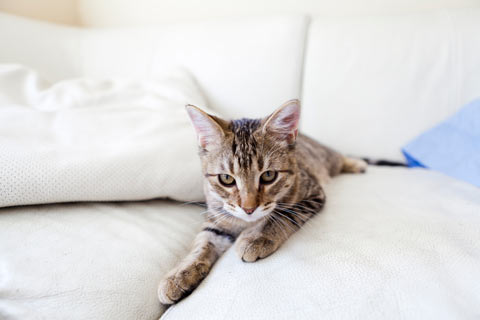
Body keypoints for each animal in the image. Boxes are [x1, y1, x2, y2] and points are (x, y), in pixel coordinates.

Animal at [158, 100, 368, 304]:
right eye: (226, 179)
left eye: (268, 176)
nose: (248, 208)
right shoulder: (217, 217)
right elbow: (203, 241)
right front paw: (180, 273)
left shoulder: (313, 193)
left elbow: (282, 215)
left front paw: (257, 237)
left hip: (326, 158)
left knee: (339, 157)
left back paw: (357, 164)